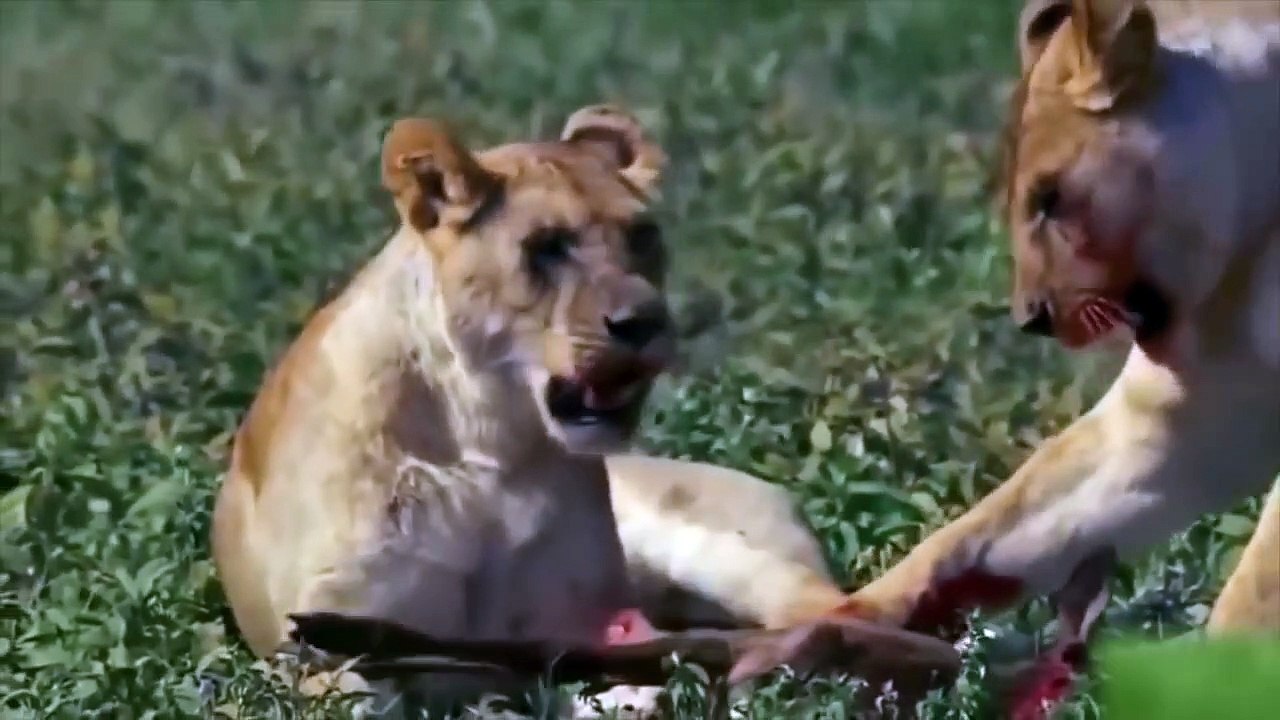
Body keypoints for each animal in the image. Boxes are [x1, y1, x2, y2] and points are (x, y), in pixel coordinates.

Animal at [210, 104, 850, 718]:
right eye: (546, 246)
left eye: (643, 236)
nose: (645, 321)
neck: (488, 438)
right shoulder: (327, 650)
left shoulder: (570, 630)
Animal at [729, 0, 1280, 714]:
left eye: (1051, 197)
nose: (1031, 318)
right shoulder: (1184, 418)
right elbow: (981, 537)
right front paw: (822, 647)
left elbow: (1251, 595)